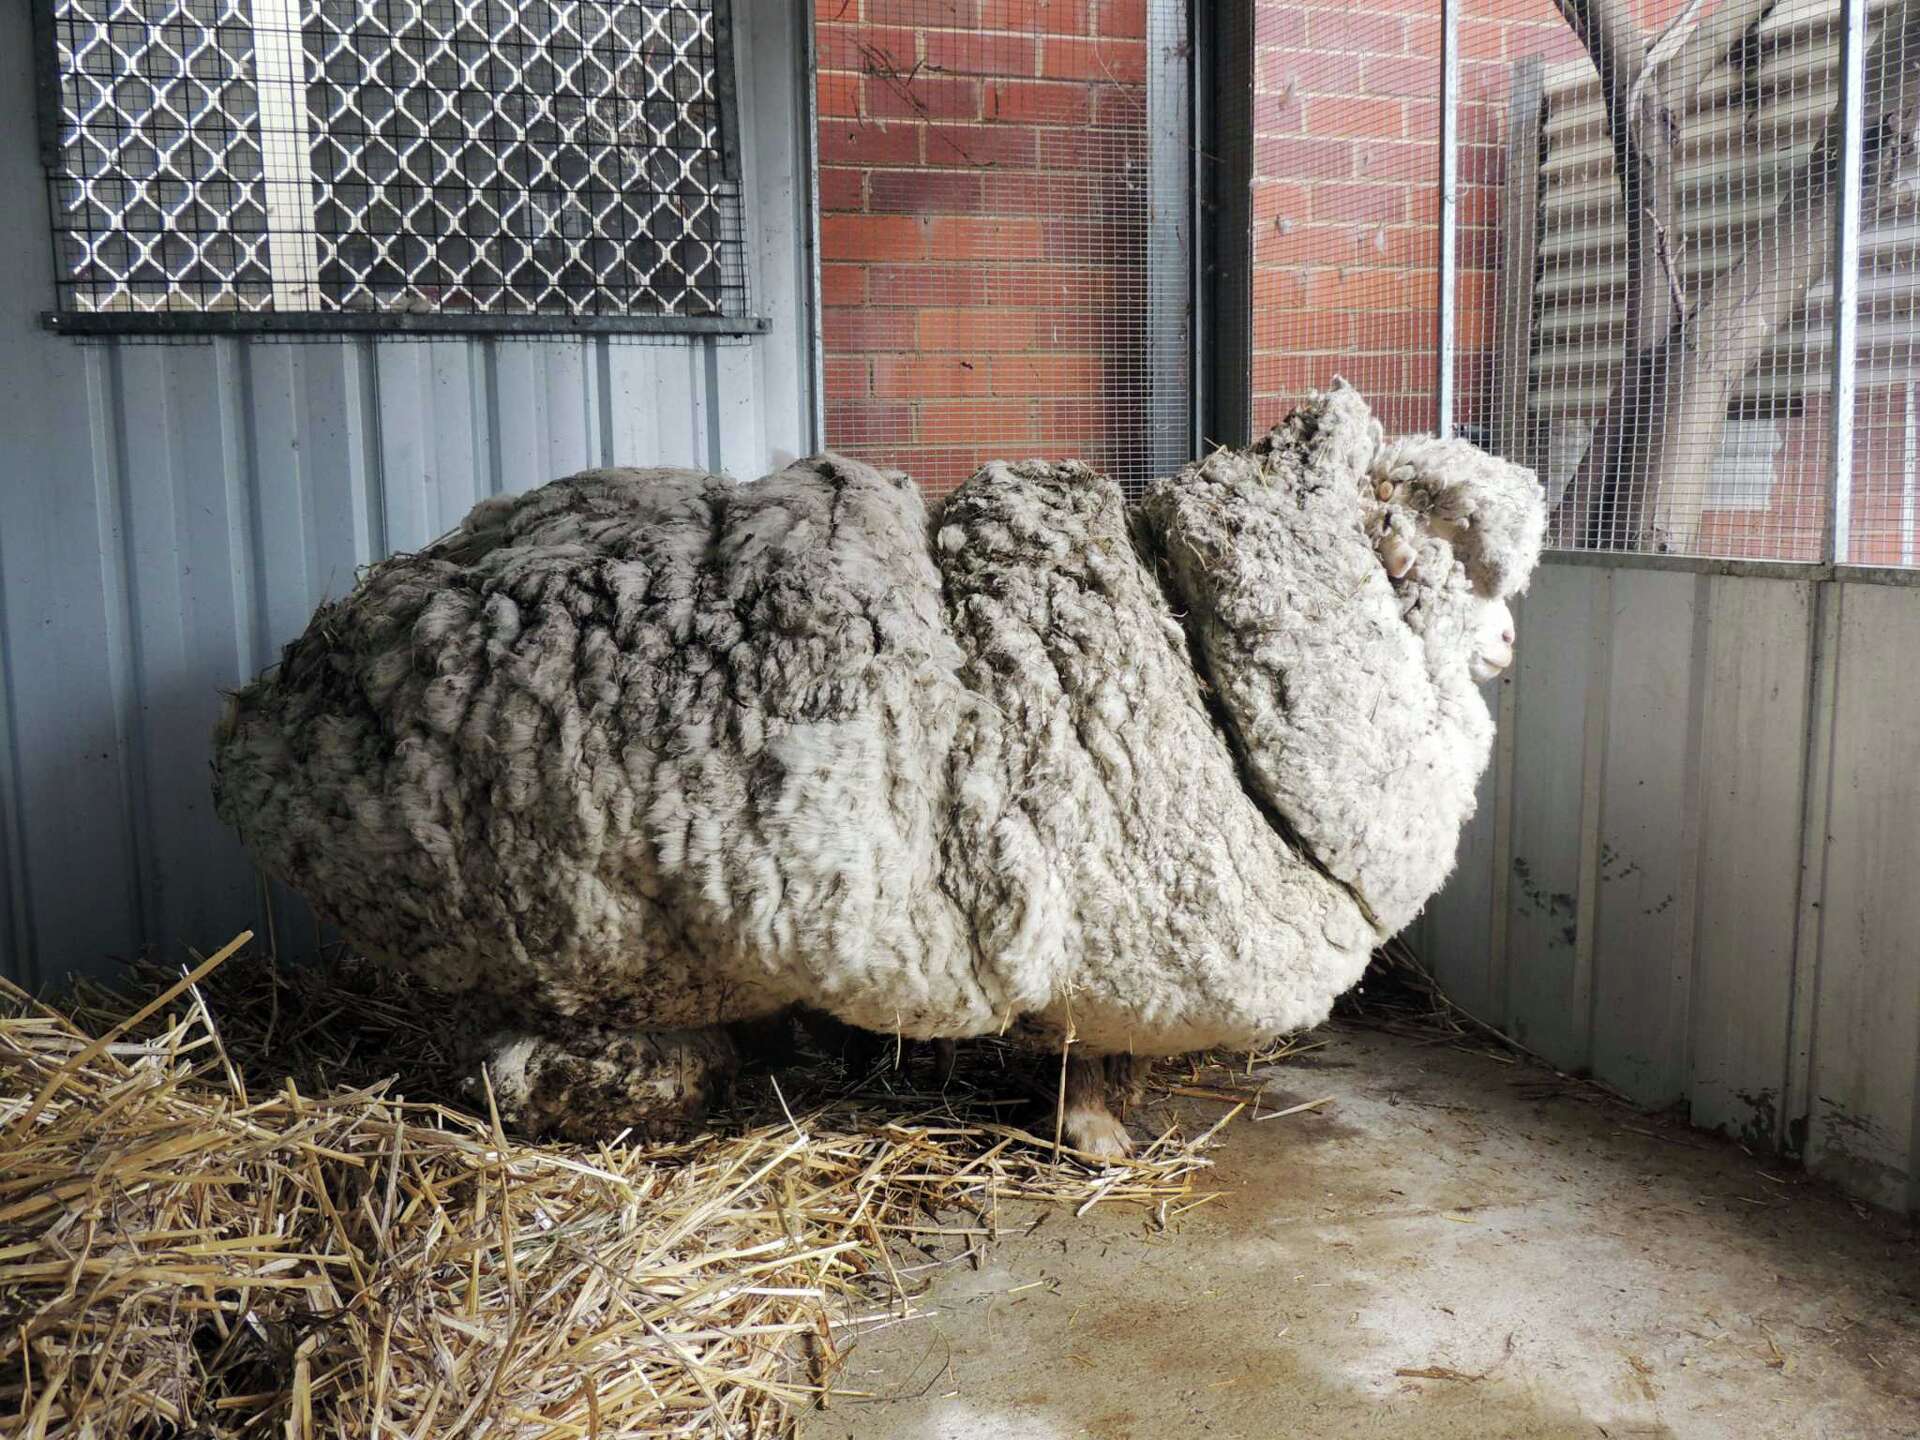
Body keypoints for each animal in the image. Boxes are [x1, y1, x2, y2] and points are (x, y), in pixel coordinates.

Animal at [211, 381, 1543, 1158]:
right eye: (1436, 545)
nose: (1513, 646)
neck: (1185, 642)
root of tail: (270, 712)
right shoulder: (1112, 957)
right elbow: (1088, 1064)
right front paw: (1099, 1139)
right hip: (561, 935)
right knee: (513, 1069)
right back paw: (648, 1086)